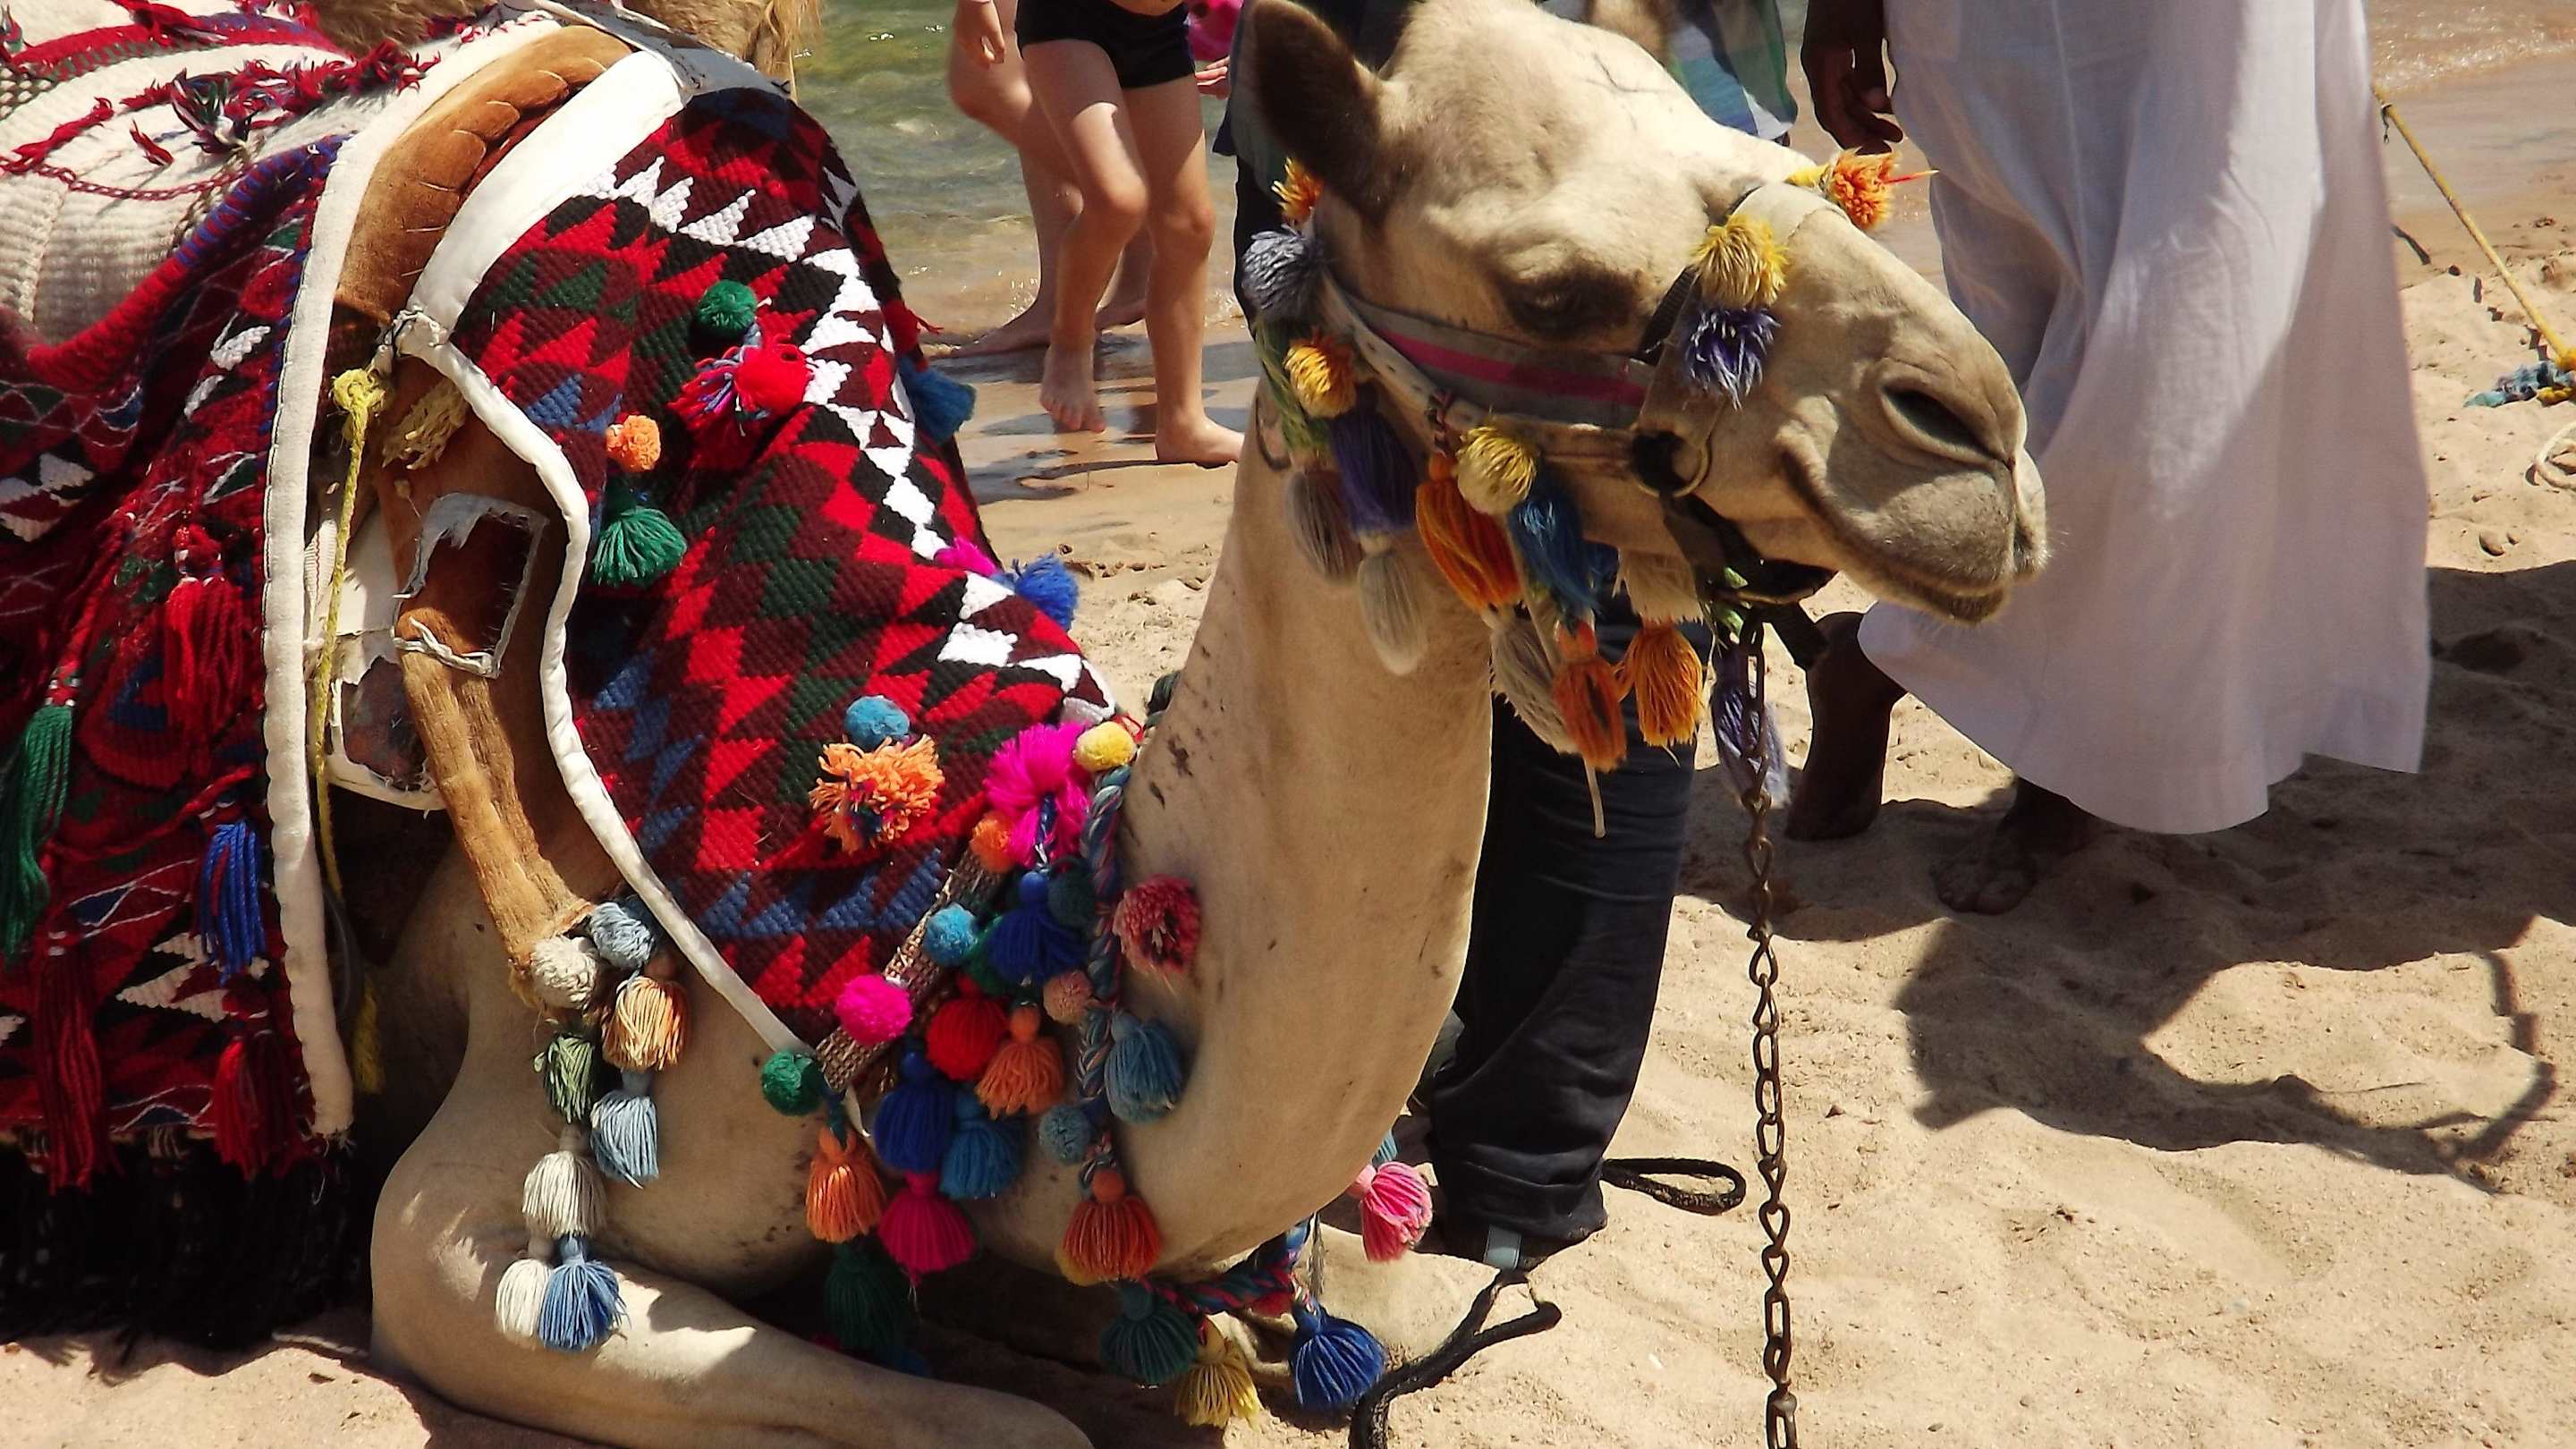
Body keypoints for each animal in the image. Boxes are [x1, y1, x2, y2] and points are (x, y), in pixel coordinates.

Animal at [0, 0, 2039, 1443]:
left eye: (1766, 143)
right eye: (1552, 285)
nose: (1981, 443)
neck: (958, 912)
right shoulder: (471, 1215)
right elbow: (999, 1429)